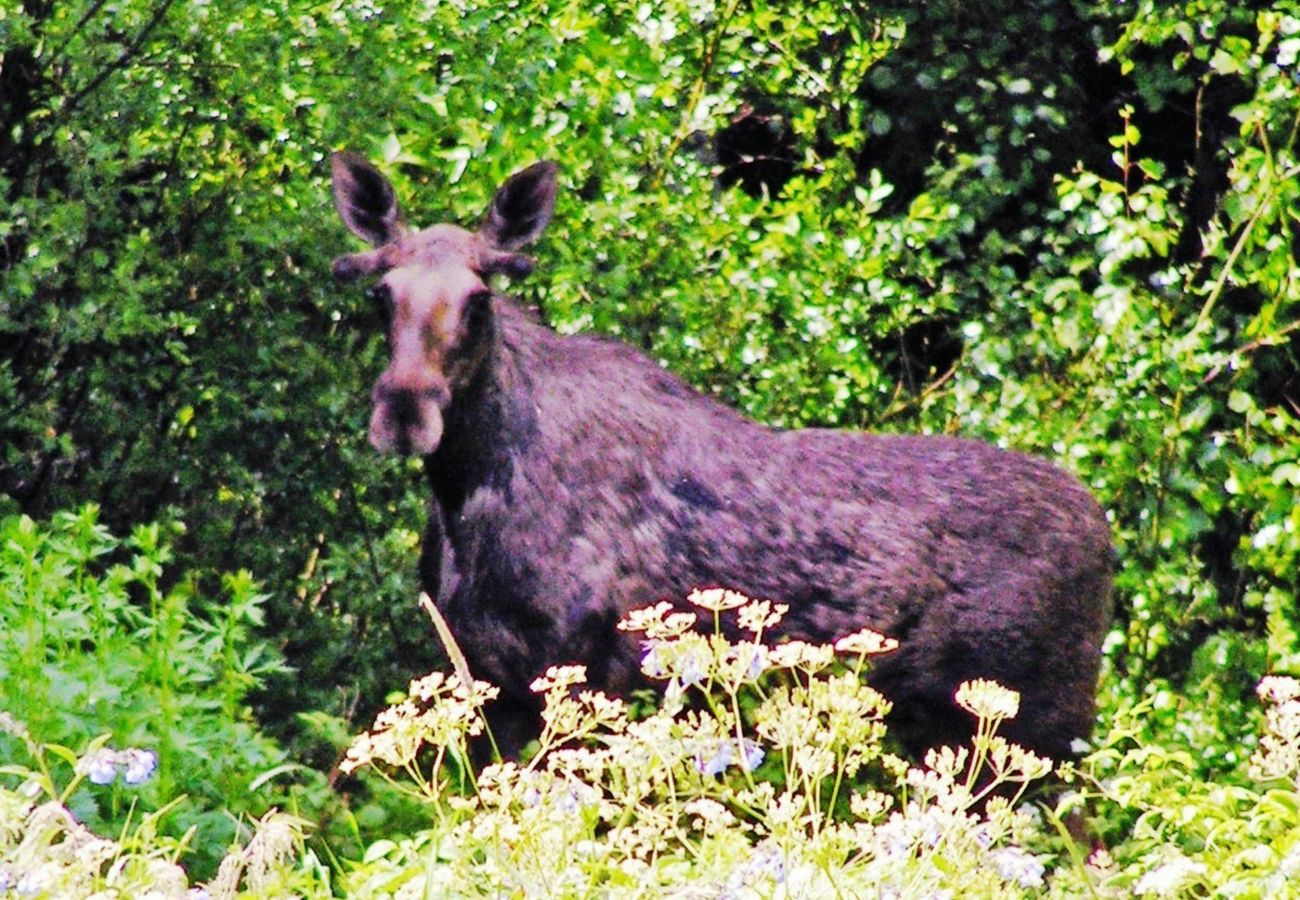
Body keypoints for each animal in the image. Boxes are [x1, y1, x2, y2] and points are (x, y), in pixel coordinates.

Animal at [330, 154, 1112, 759]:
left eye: (478, 297)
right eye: (382, 293)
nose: (404, 411)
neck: (466, 493)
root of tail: (1108, 539)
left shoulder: (582, 673)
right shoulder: (491, 684)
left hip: (1040, 721)